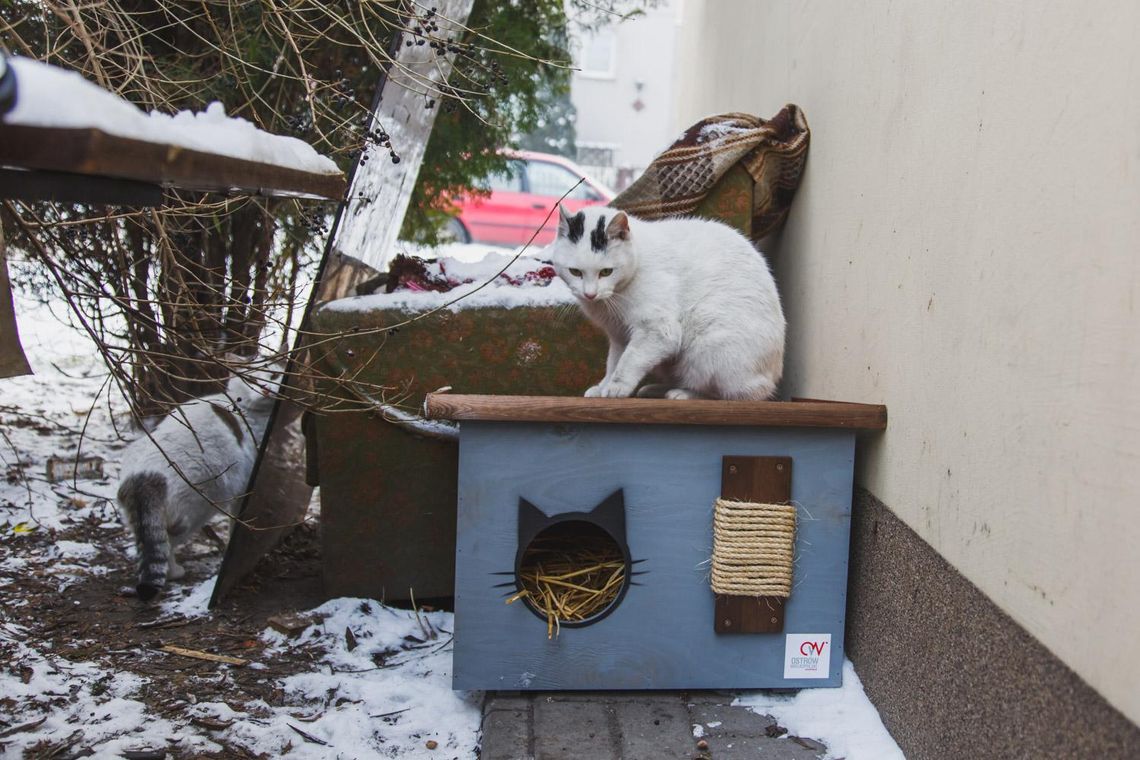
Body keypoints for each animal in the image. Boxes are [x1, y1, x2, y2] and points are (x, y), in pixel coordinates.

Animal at [114, 364, 279, 601]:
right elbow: (237, 523)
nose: (264, 389)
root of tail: (142, 477)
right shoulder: (244, 485)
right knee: (166, 545)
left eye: (273, 375)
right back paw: (175, 572)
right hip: (193, 513)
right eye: (252, 380)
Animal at [549, 205, 784, 401]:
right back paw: (655, 389)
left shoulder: (658, 330)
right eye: (575, 272)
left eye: (606, 271)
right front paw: (603, 386)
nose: (590, 294)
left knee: (729, 394)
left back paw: (682, 393)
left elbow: (629, 361)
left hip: (708, 348)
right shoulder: (619, 336)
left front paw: (616, 387)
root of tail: (773, 376)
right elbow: (613, 362)